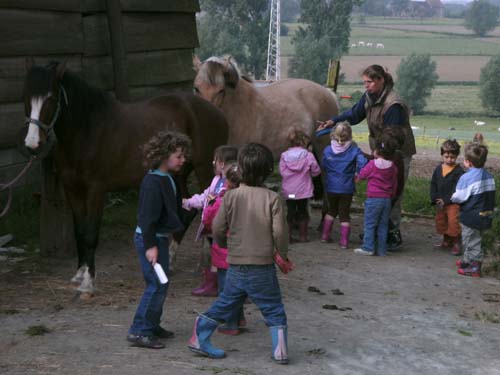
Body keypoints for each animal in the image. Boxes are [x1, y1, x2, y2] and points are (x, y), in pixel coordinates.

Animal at [21, 58, 229, 296]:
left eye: (51, 99)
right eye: (26, 96)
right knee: (186, 211)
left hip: (205, 171)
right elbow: (79, 231)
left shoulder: (96, 190)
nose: (32, 144)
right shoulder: (72, 189)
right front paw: (80, 274)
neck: (88, 130)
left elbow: (90, 233)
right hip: (178, 175)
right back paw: (171, 260)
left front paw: (88, 283)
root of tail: (217, 113)